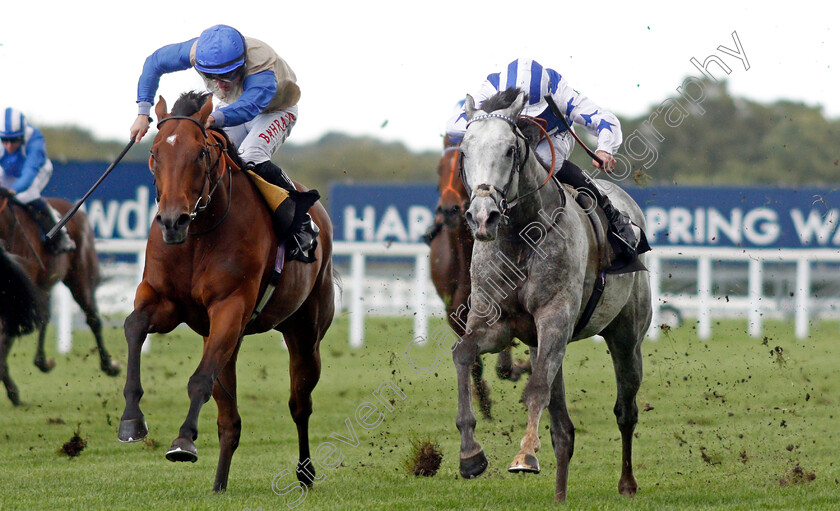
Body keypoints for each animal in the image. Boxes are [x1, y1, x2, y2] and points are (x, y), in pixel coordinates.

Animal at [0, 190, 122, 406]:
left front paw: (12, 391)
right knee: (45, 316)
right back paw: (43, 361)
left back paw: (109, 365)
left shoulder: (18, 296)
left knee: (93, 319)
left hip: (80, 277)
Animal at [118, 91, 334, 492]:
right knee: (229, 420)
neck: (199, 233)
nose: (172, 221)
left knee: (300, 404)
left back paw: (305, 473)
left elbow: (200, 380)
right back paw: (219, 483)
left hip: (304, 331)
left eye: (201, 153)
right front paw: (131, 419)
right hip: (229, 339)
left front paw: (183, 441)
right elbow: (134, 326)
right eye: (155, 151)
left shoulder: (230, 307)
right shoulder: (164, 301)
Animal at [430, 134, 528, 418]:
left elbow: (504, 363)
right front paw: (482, 400)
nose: (449, 210)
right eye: (438, 169)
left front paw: (517, 367)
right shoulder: (454, 310)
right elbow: (472, 357)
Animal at [452, 89, 656, 504]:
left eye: (510, 150)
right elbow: (463, 354)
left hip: (626, 338)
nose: (482, 217)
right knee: (563, 428)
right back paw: (560, 494)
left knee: (625, 411)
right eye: (464, 151)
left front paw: (525, 456)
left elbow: (536, 390)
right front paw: (470, 455)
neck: (520, 238)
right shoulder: (496, 325)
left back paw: (627, 483)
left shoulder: (555, 319)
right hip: (544, 344)